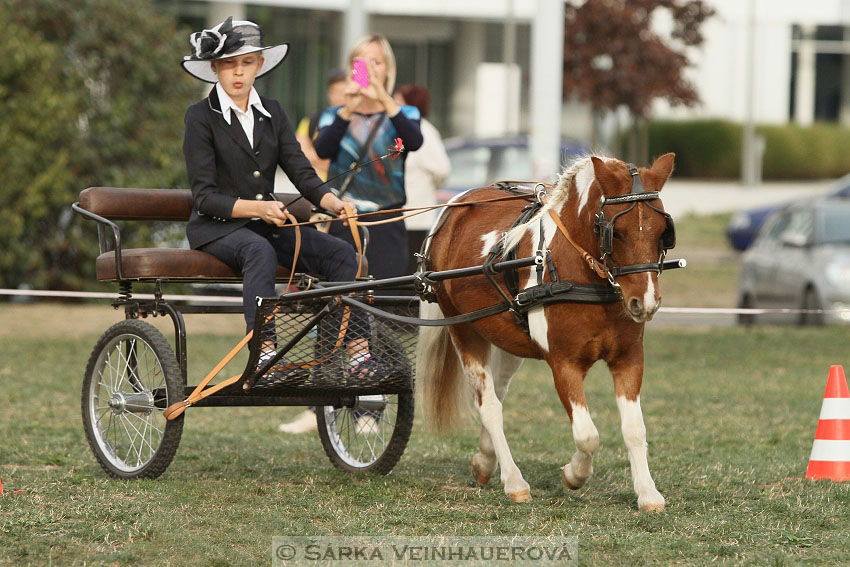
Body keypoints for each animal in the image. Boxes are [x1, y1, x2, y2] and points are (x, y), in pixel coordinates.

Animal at [418, 153, 676, 512]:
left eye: (663, 232)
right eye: (617, 232)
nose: (646, 303)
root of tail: (454, 207)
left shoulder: (628, 359)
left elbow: (634, 428)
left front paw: (648, 493)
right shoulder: (563, 364)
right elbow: (587, 434)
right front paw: (574, 474)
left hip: (508, 339)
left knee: (498, 394)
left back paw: (485, 462)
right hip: (463, 329)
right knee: (489, 406)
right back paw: (514, 482)